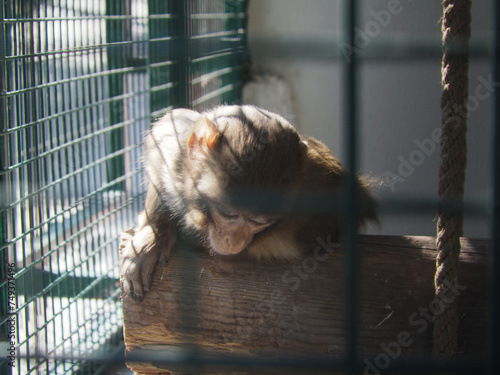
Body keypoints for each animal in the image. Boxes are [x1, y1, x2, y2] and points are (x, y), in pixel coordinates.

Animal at [121, 105, 376, 300]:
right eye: (227, 212)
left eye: (260, 222)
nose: (234, 241)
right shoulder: (174, 148)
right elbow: (161, 137)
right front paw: (152, 237)